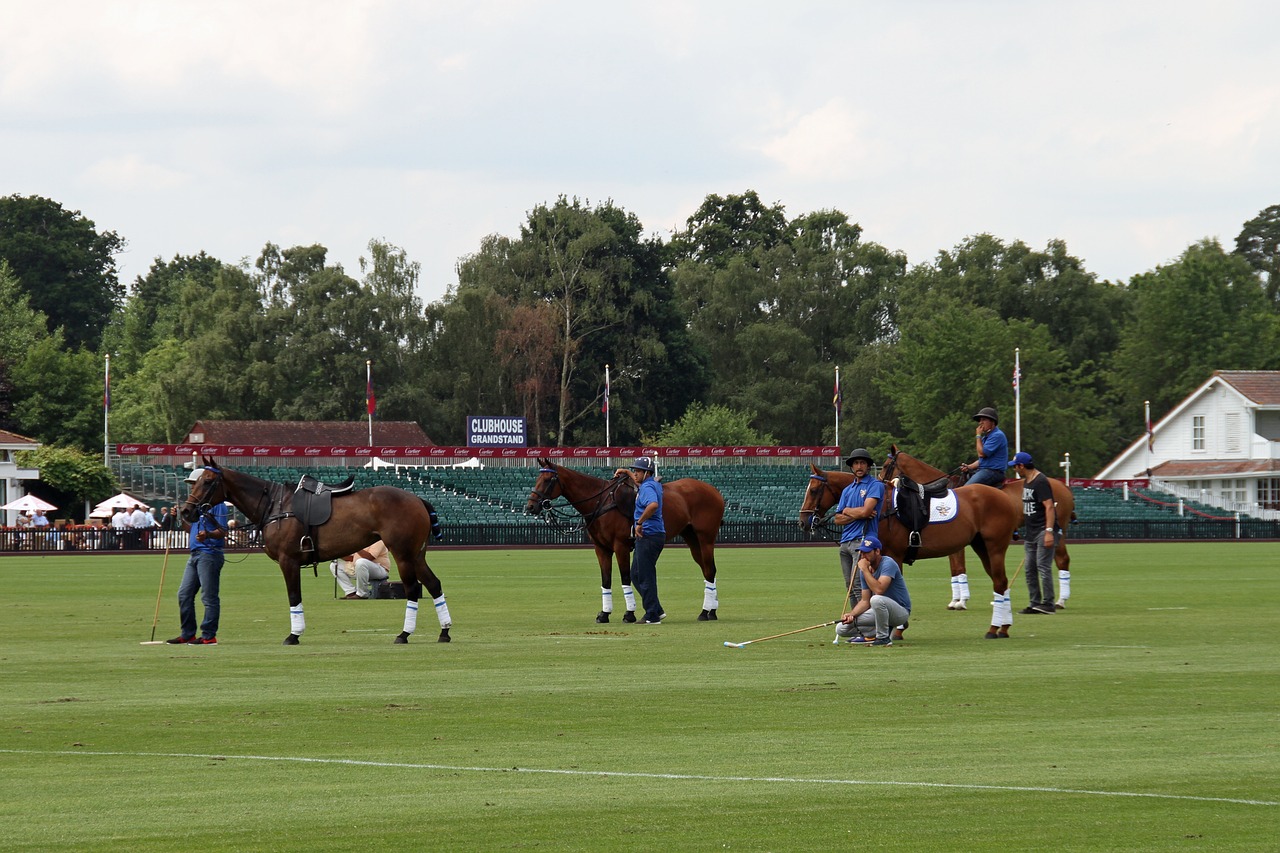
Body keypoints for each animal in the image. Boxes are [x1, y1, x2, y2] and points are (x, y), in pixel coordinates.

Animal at [180, 455, 450, 640]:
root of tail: (418, 499)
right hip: (417, 555)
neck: (274, 505)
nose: (185, 511)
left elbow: (293, 596)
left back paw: (404, 634)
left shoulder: (288, 560)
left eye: (207, 481)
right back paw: (444, 632)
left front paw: (294, 635)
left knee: (412, 589)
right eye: (196, 481)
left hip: (402, 554)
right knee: (434, 584)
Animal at [524, 455, 727, 622]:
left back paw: (705, 612)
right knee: (708, 571)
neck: (601, 502)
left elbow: (625, 578)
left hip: (706, 538)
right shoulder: (601, 548)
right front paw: (604, 614)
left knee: (710, 570)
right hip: (691, 538)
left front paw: (629, 614)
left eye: (547, 480)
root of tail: (715, 491)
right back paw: (712, 610)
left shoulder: (620, 546)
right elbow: (606, 580)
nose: (531, 506)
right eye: (537, 479)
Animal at [798, 448, 1018, 635]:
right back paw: (1004, 626)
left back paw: (994, 628)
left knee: (999, 582)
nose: (802, 522)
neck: (881, 507)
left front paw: (897, 629)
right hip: (981, 546)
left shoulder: (894, 554)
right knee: (1000, 581)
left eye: (814, 490)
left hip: (995, 546)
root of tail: (1004, 496)